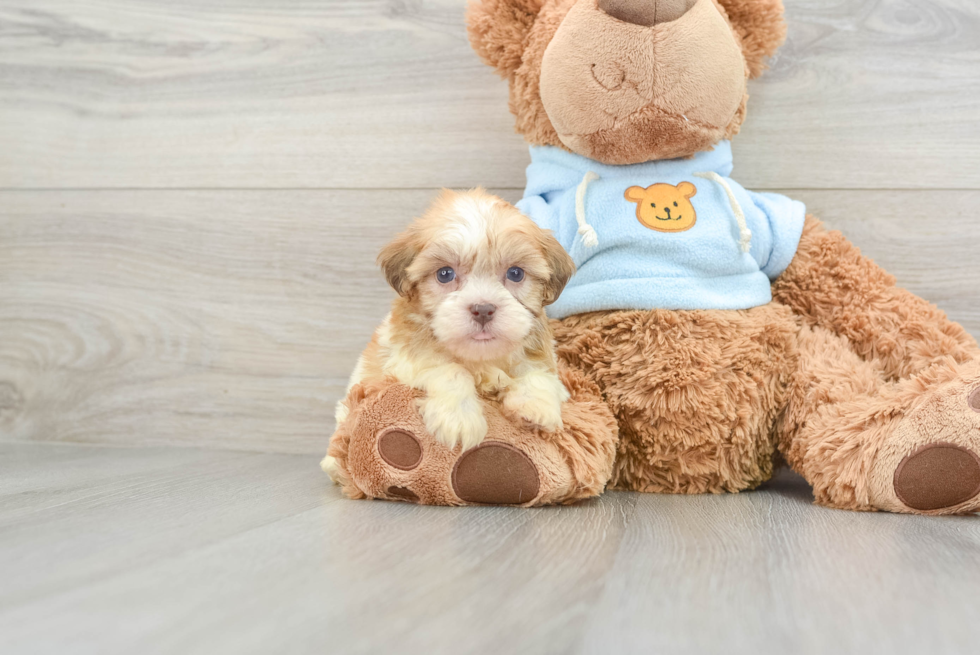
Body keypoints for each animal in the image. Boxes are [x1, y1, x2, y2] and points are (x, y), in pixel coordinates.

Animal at [328, 187, 576, 468]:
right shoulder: (403, 361)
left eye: (515, 273)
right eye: (445, 274)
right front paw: (458, 419)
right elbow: (450, 369)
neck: (481, 358)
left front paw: (536, 405)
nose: (483, 309)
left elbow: (540, 373)